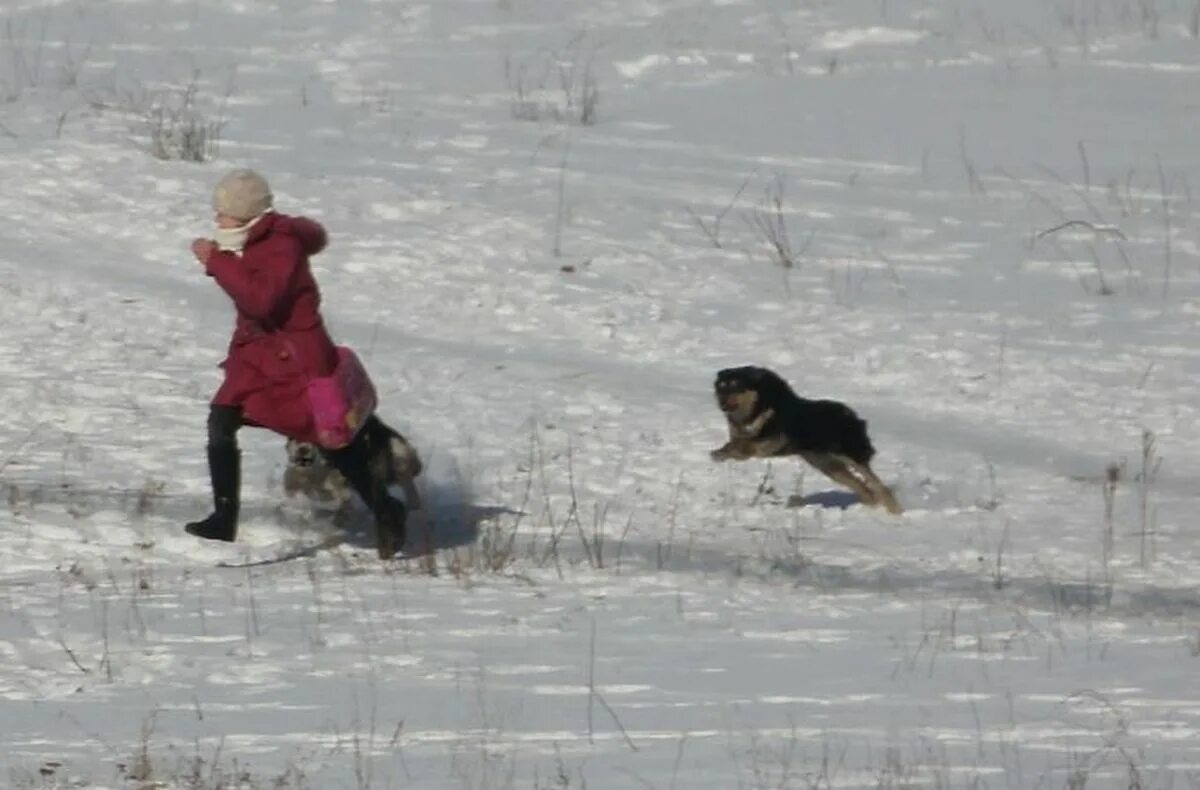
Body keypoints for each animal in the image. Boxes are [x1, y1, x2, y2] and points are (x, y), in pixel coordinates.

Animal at [710, 364, 902, 513]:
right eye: (720, 387)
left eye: (736, 386)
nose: (722, 404)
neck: (758, 408)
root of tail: (854, 416)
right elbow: (735, 444)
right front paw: (720, 453)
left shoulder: (773, 441)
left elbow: (746, 443)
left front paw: (723, 451)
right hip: (826, 464)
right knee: (863, 488)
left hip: (851, 454)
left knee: (878, 485)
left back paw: (895, 511)